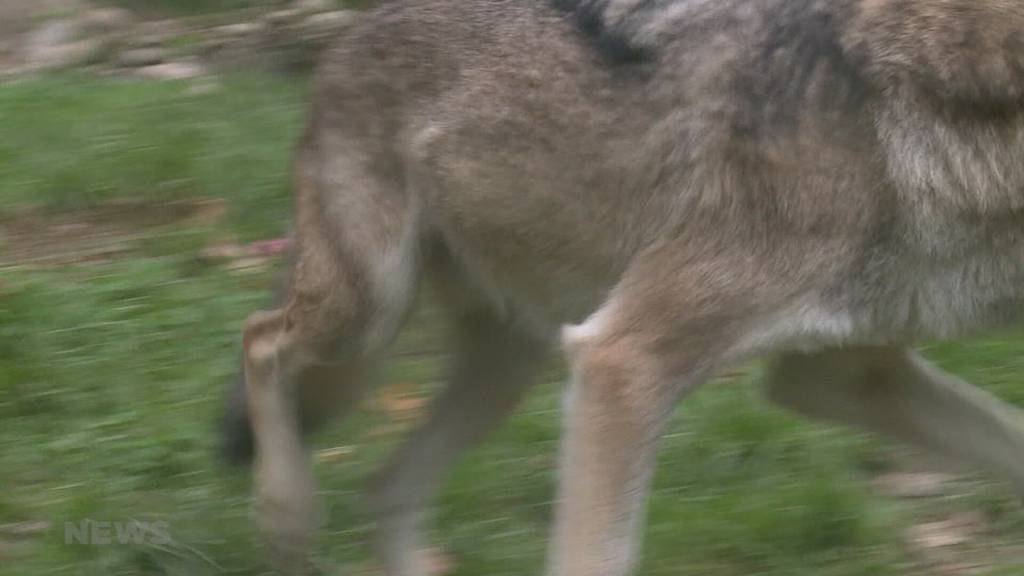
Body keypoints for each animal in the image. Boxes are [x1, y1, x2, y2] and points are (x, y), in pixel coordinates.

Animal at [220, 0, 1024, 569]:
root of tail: (347, 36)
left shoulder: (844, 374)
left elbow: (1006, 439)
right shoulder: (624, 361)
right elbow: (593, 555)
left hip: (511, 363)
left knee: (385, 485)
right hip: (368, 316)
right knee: (258, 340)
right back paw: (284, 517)